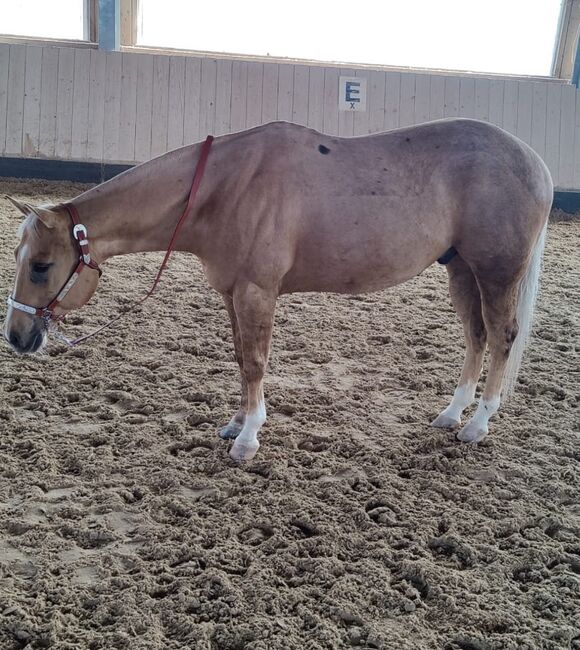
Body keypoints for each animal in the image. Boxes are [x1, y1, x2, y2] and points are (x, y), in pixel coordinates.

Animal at [2, 117, 552, 460]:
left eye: (42, 266)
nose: (17, 336)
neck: (224, 187)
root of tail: (534, 163)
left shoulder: (256, 292)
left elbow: (256, 363)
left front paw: (246, 440)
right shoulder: (230, 293)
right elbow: (240, 358)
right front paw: (236, 422)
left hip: (495, 273)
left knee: (501, 336)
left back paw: (478, 425)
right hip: (461, 270)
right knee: (476, 337)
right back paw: (451, 414)